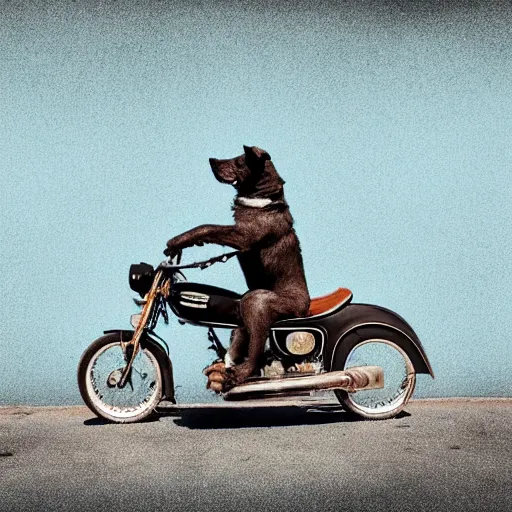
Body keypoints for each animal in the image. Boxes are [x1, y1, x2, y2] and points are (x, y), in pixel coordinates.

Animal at [166, 145, 310, 392]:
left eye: (239, 162)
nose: (212, 160)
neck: (263, 197)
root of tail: (306, 309)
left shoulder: (243, 235)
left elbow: (207, 227)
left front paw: (178, 241)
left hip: (258, 302)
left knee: (255, 351)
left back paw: (238, 375)